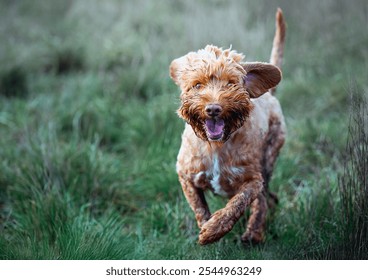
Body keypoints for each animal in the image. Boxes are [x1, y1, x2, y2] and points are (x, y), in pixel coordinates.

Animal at [170, 8, 288, 245]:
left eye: (231, 84)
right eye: (197, 85)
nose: (213, 109)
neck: (216, 145)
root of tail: (269, 94)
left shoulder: (253, 180)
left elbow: (238, 202)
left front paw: (213, 230)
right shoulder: (185, 175)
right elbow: (199, 206)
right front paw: (206, 225)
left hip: (269, 156)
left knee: (263, 199)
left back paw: (254, 234)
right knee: (269, 198)